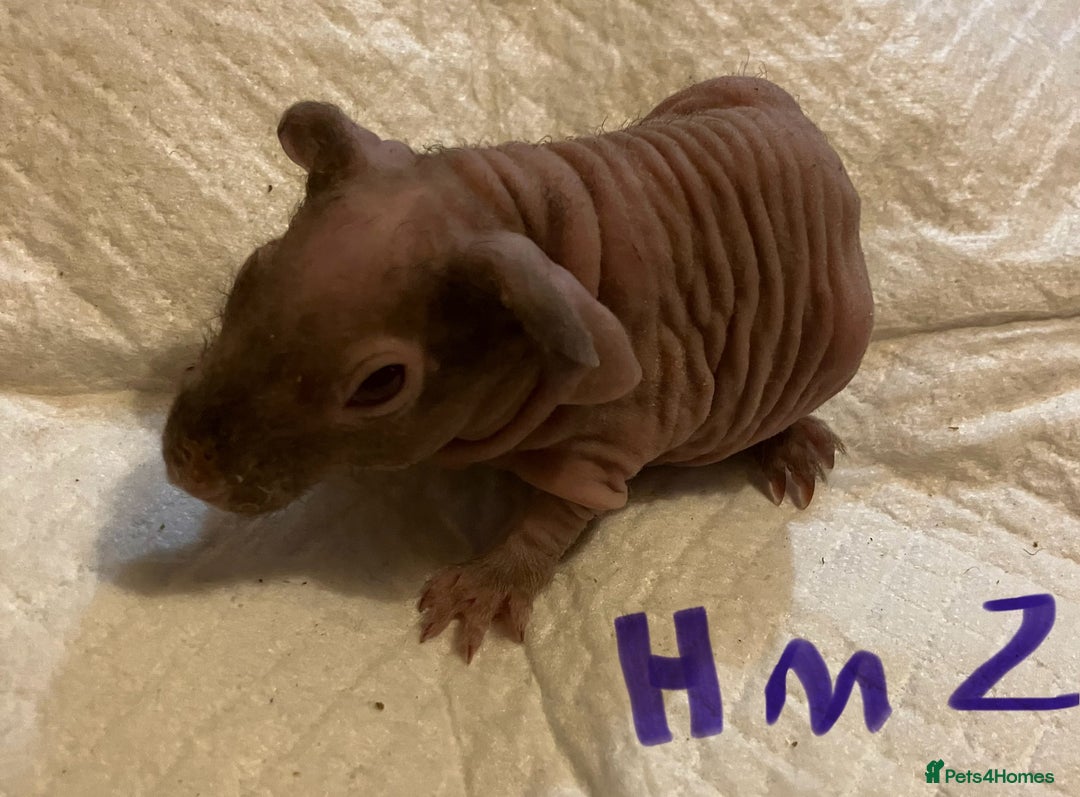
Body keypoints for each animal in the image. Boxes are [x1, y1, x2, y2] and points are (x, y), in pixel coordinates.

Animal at [162, 76, 874, 662]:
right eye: (251, 273)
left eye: (380, 385)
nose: (190, 466)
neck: (511, 208)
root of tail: (813, 137)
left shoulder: (615, 428)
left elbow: (560, 513)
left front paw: (484, 586)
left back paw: (790, 442)